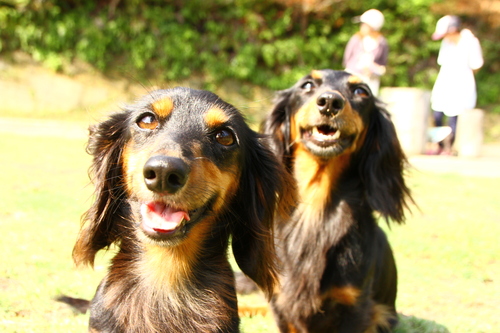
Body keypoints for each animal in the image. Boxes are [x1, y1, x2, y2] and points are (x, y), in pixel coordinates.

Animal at [264, 68, 412, 330]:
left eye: (361, 91)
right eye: (307, 85)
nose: (330, 102)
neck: (316, 210)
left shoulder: (354, 307)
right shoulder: (282, 305)